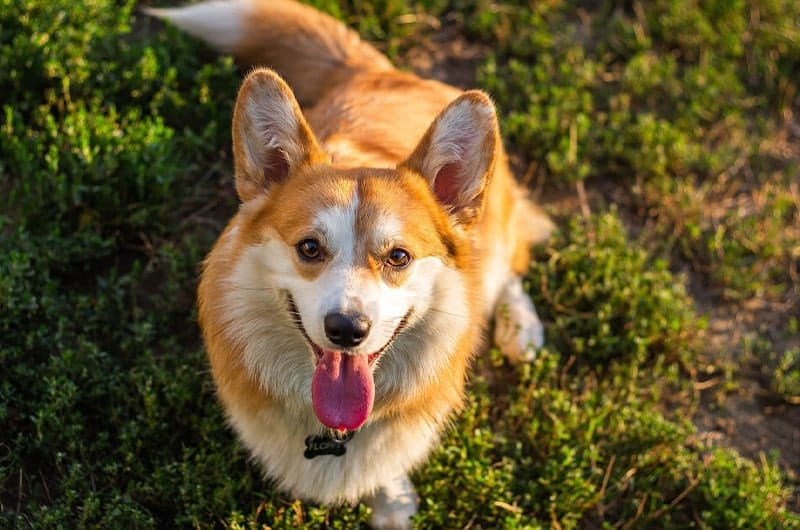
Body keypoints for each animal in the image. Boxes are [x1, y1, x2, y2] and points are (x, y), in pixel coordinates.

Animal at [147, 2, 552, 524]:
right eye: (309, 248)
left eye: (398, 256)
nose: (346, 330)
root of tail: (375, 70)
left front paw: (392, 503)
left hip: (494, 234)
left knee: (511, 266)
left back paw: (521, 331)